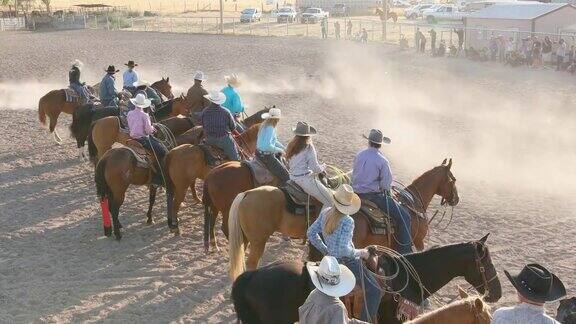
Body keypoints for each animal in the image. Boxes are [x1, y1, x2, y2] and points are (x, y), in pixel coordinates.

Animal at [37, 78, 173, 144]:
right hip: (54, 115)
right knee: (52, 128)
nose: (171, 96)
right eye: (169, 86)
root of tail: (43, 97)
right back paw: (58, 141)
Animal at [228, 158, 460, 280]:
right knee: (252, 263)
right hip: (259, 240)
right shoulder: (417, 242)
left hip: (247, 238)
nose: (456, 199)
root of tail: (247, 194)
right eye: (453, 179)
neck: (411, 204)